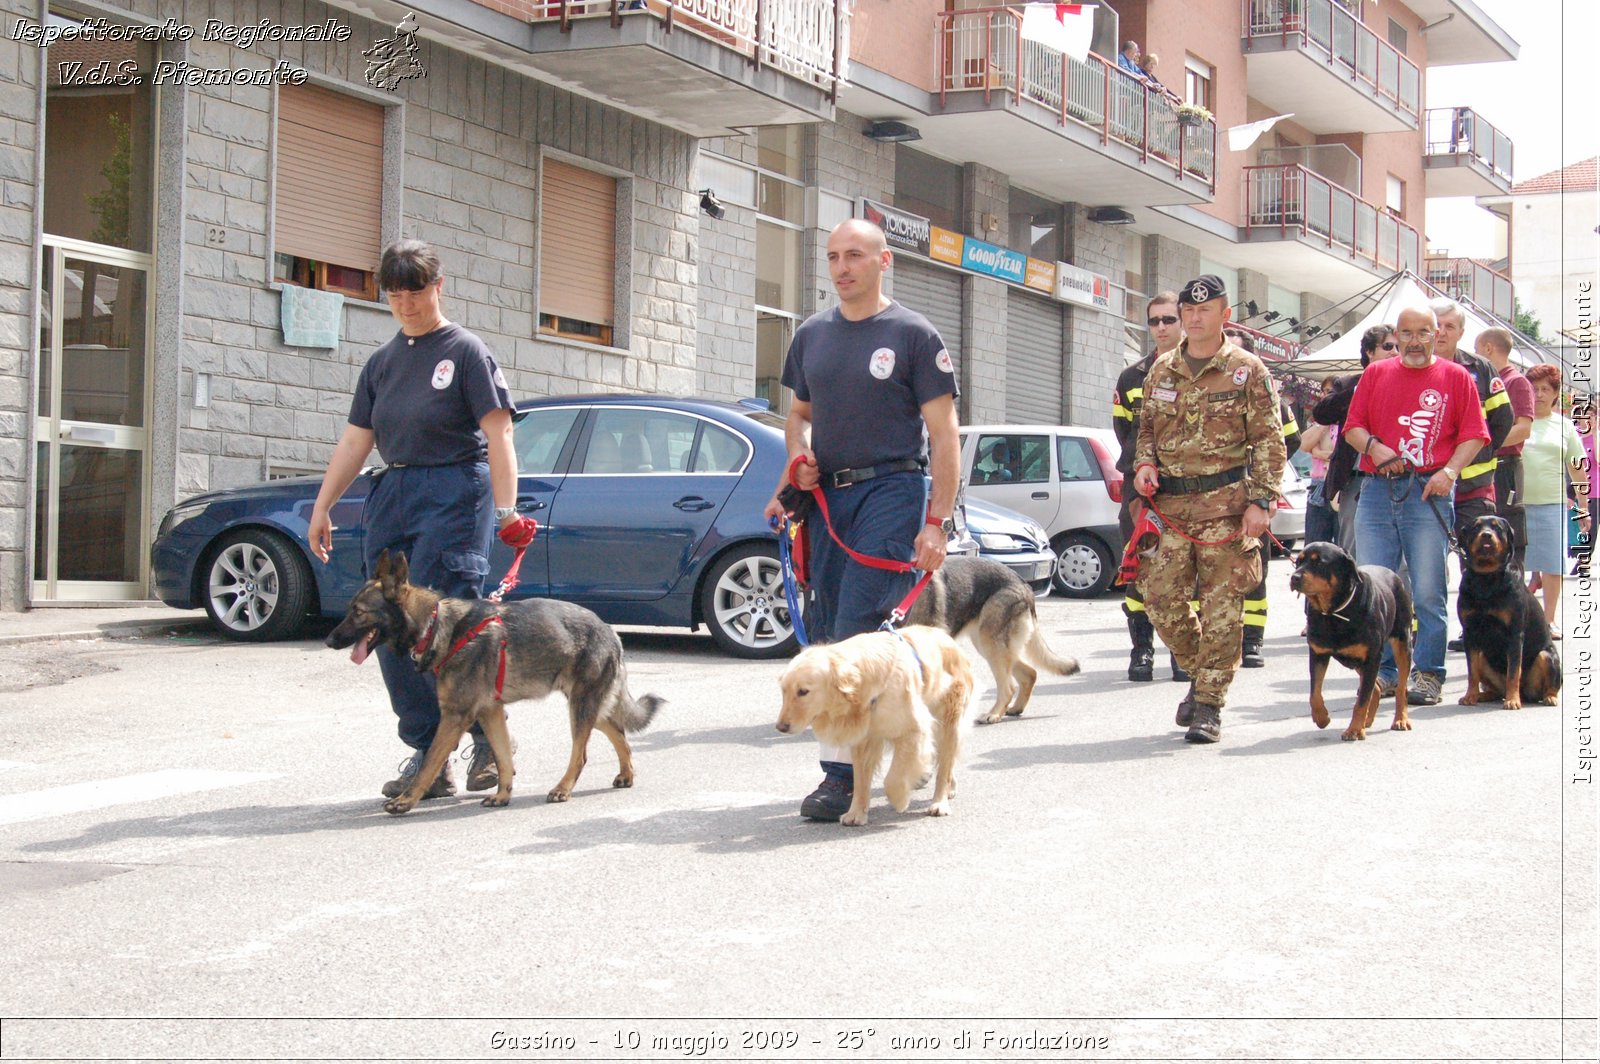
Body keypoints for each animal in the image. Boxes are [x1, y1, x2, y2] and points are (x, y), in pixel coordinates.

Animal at [326, 547, 662, 812]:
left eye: (358, 612)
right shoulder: (490, 713)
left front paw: (406, 801)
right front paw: (502, 795)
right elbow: (503, 758)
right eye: (350, 610)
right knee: (619, 733)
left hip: (580, 708)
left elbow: (431, 760)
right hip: (589, 707)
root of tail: (610, 631)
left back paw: (563, 788)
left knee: (581, 755)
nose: (329, 640)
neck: (435, 625)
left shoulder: (455, 716)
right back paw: (626, 774)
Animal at [774, 627, 972, 825]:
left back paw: (939, 802)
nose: (781, 727)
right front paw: (856, 813)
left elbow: (893, 778)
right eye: (783, 691)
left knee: (945, 768)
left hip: (950, 719)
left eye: (803, 691)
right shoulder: (862, 739)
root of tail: (943, 635)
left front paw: (900, 799)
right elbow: (860, 780)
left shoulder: (914, 729)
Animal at [908, 556, 1081, 723]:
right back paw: (1015, 708)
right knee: (1030, 673)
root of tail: (1022, 582)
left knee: (1009, 687)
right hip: (989, 645)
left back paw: (994, 714)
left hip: (990, 644)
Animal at [1286, 540, 1414, 739]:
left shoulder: (1372, 657)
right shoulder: (1317, 653)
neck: (1334, 612)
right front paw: (1322, 717)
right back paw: (1368, 720)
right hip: (1356, 662)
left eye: (1319, 562)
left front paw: (1354, 729)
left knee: (1401, 687)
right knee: (1375, 687)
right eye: (1298, 562)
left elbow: (1361, 701)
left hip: (1402, 641)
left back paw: (1400, 719)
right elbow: (1314, 693)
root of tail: (1394, 575)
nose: (1294, 577)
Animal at [1459, 512, 1555, 710]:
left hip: (1548, 656)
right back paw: (1483, 695)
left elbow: (1513, 671)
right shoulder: (1469, 633)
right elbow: (1472, 672)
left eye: (1497, 527)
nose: (1486, 535)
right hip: (1484, 657)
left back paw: (1548, 697)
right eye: (1476, 527)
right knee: (1493, 687)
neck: (1486, 578)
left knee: (1548, 682)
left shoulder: (1514, 633)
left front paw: (1512, 700)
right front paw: (1470, 695)